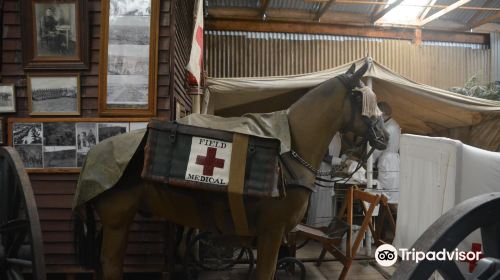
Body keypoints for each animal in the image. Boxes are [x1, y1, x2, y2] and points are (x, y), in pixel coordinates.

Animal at [73, 60, 390, 278]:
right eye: (361, 97)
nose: (384, 136)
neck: (291, 149)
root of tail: (94, 155)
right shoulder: (272, 232)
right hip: (118, 221)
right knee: (110, 265)